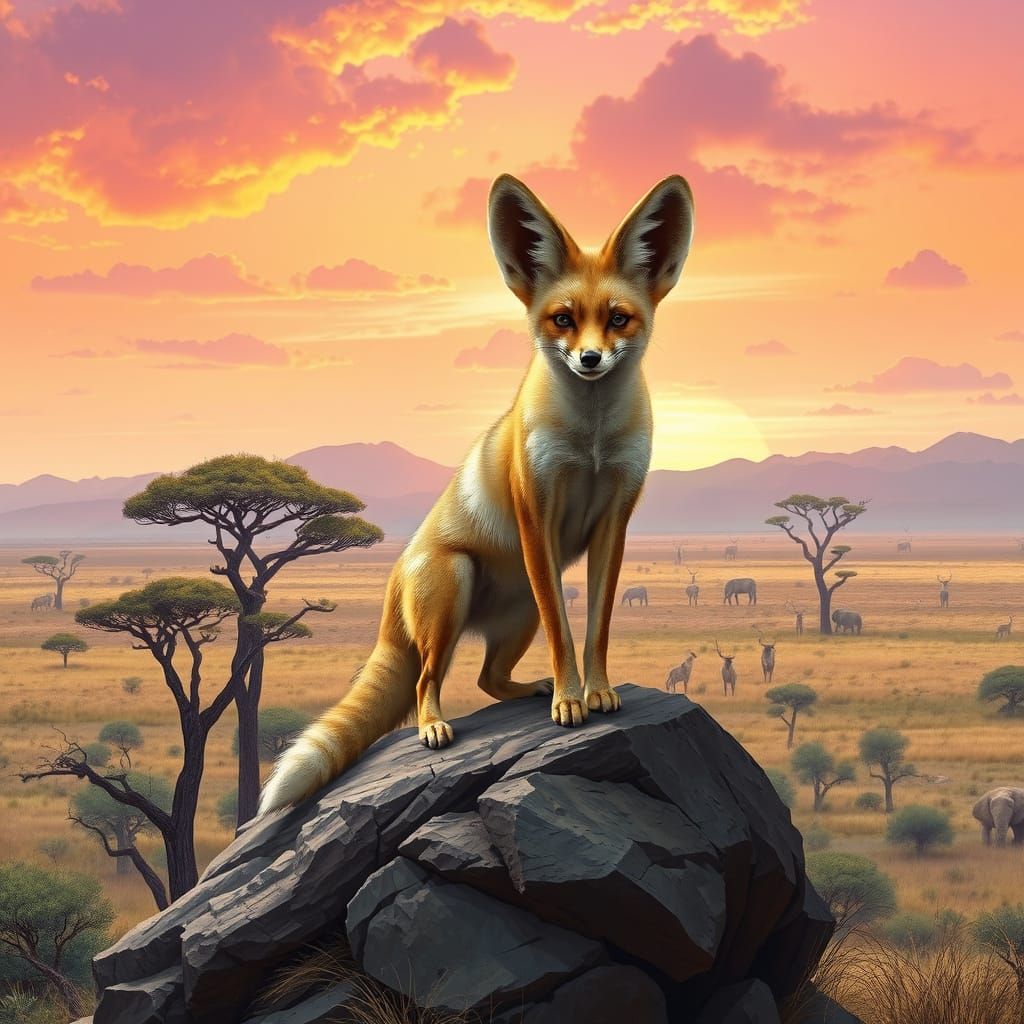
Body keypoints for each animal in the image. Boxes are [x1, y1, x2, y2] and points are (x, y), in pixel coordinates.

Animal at [257, 172, 695, 814]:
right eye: (563, 320)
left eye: (618, 320)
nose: (590, 359)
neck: (590, 441)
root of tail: (393, 584)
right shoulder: (536, 515)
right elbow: (566, 633)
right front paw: (569, 701)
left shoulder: (614, 522)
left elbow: (595, 628)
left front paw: (596, 692)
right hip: (455, 586)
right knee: (424, 679)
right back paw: (435, 726)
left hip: (518, 615)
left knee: (488, 678)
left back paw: (526, 689)